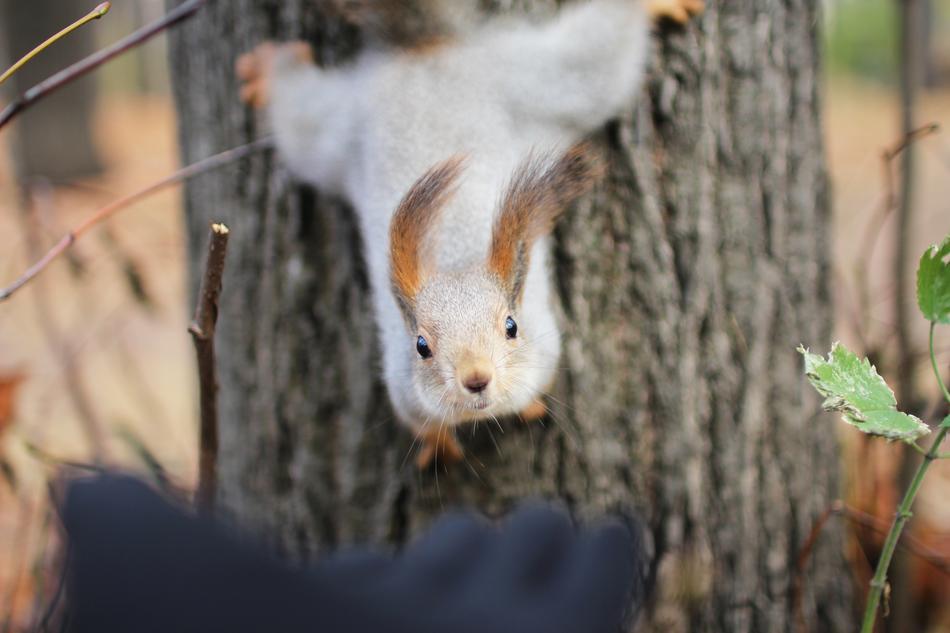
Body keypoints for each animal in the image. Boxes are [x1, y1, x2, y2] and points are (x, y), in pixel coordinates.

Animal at [236, 0, 703, 469]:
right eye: (421, 345)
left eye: (511, 327)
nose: (476, 378)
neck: (455, 261)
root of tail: (425, 54)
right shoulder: (403, 390)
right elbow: (423, 423)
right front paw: (439, 443)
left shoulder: (547, 346)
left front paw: (529, 406)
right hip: (339, 130)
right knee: (299, 112)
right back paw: (266, 71)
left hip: (535, 80)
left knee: (597, 58)